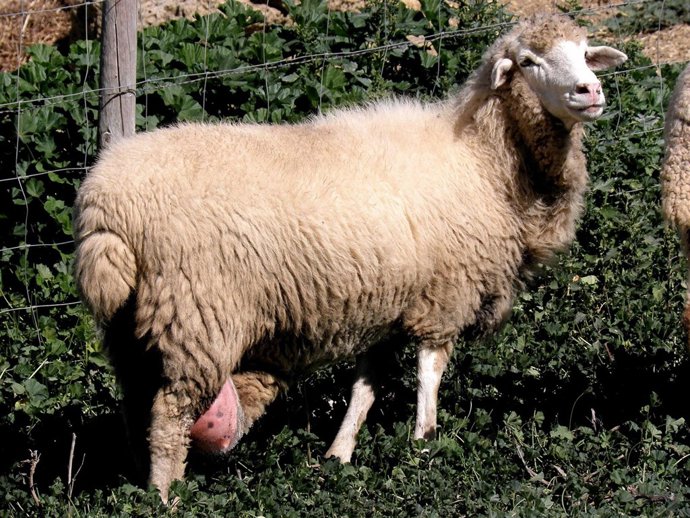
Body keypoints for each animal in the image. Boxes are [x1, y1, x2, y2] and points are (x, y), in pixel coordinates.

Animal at [73, 14, 627, 502]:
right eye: (530, 61)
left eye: (584, 52)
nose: (591, 92)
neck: (483, 160)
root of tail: (106, 206)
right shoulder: (445, 294)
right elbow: (429, 373)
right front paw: (424, 446)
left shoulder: (387, 303)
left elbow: (365, 386)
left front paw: (339, 455)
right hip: (198, 315)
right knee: (169, 416)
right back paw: (164, 496)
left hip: (130, 326)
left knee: (136, 403)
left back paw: (137, 480)